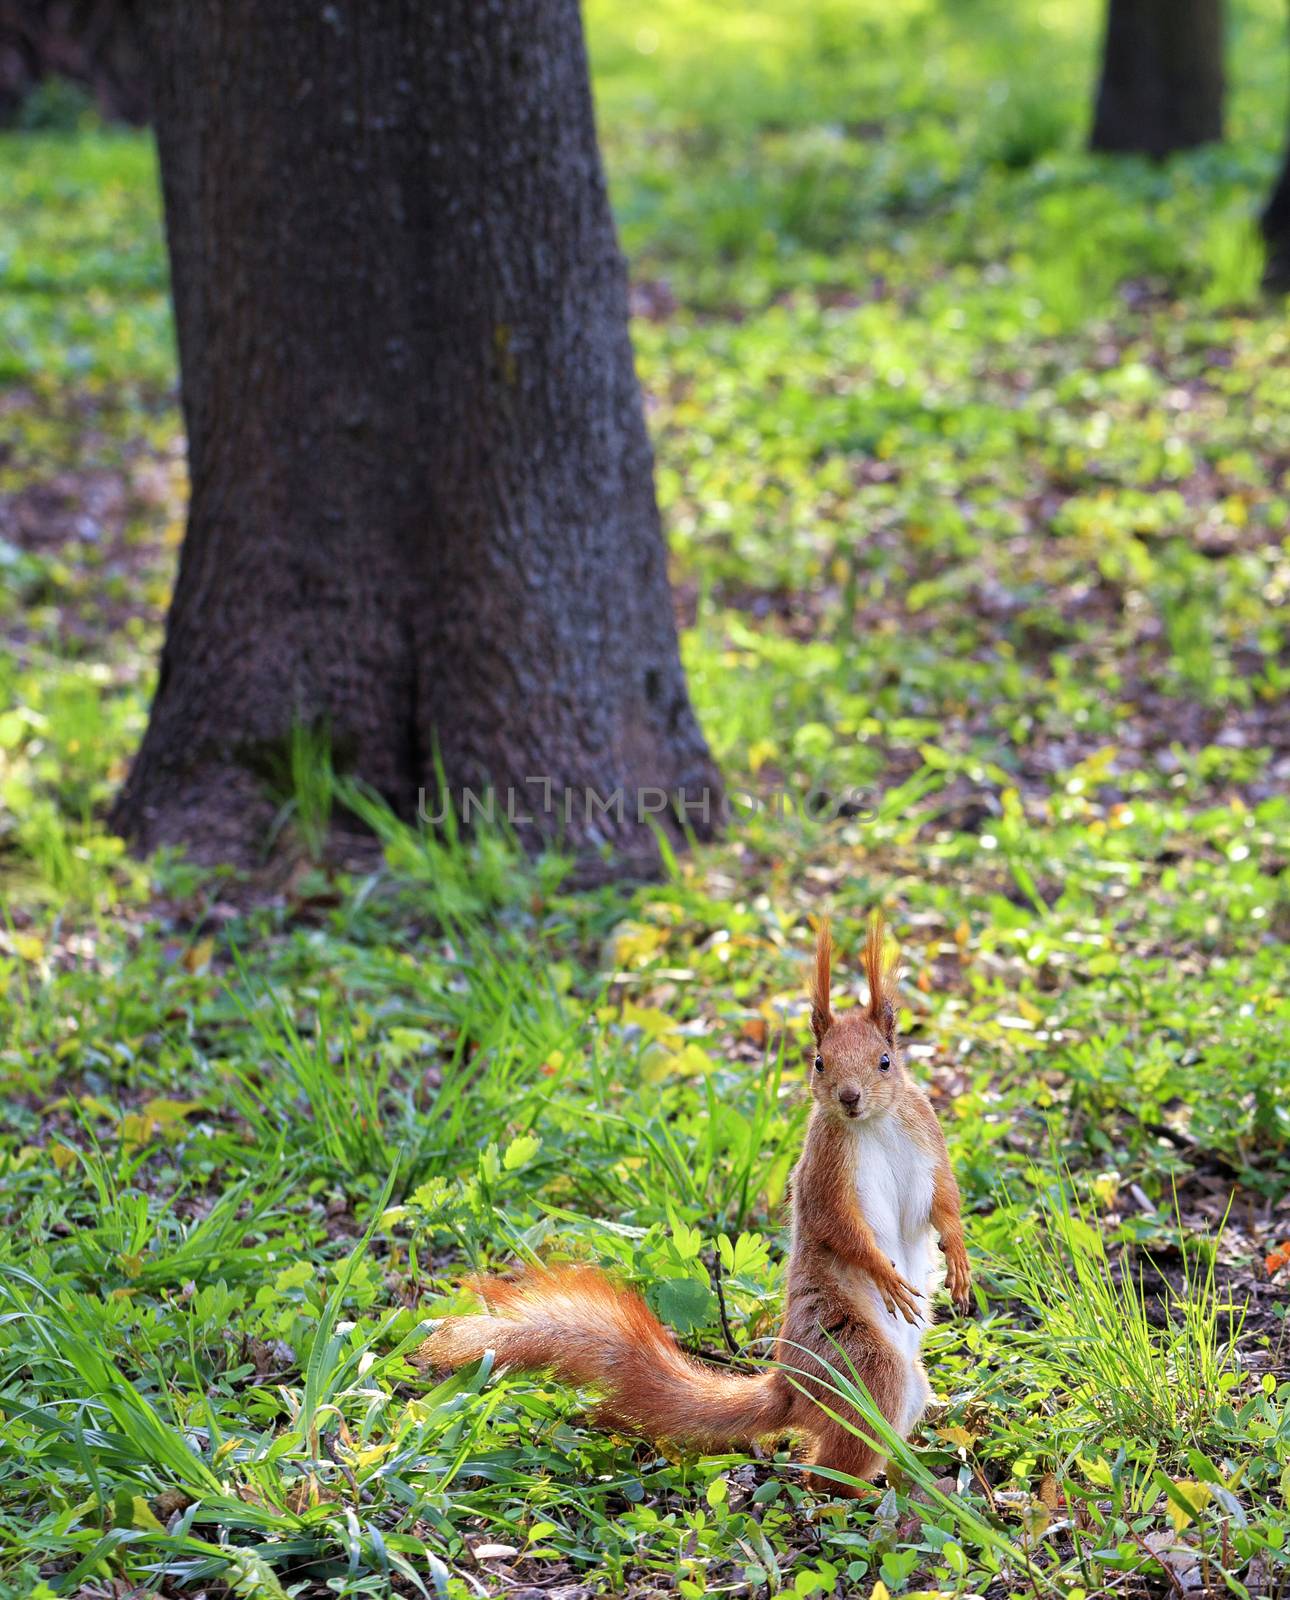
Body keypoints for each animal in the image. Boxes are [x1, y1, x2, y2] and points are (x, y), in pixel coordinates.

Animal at [419, 921, 973, 1491]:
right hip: (860, 1363)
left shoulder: (927, 1138)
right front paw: (886, 1275)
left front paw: (957, 1257)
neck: (873, 1125)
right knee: (828, 1467)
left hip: (905, 1387)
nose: (848, 1097)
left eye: (886, 1062)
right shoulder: (825, 1170)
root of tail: (789, 1388)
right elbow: (837, 1227)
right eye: (819, 1062)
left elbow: (944, 1202)